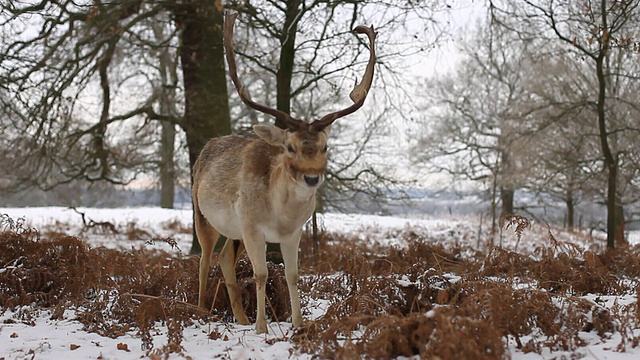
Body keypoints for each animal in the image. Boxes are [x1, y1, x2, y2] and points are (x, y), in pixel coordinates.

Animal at [192, 14, 378, 334]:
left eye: (325, 146)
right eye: (289, 147)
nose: (312, 177)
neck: (281, 216)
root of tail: (206, 147)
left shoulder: (295, 231)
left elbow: (292, 274)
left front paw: (298, 323)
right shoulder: (252, 226)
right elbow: (261, 274)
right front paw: (262, 328)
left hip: (235, 230)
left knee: (225, 257)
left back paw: (240, 318)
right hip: (202, 214)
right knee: (204, 258)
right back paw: (203, 309)